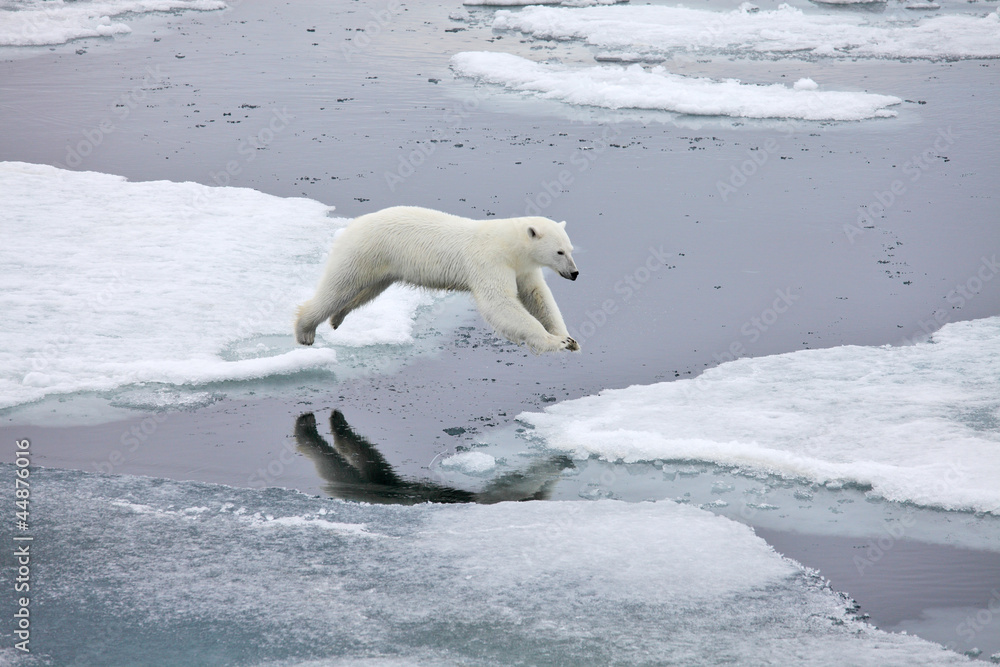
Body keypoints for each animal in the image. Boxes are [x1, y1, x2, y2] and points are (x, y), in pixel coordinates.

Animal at [295, 206, 580, 353]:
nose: (575, 273)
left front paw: (569, 339)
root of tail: (352, 224)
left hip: (382, 266)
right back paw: (305, 330)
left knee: (365, 291)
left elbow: (537, 296)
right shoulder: (490, 261)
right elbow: (499, 303)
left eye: (571, 249)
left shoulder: (522, 268)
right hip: (364, 251)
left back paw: (337, 317)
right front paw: (555, 341)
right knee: (339, 286)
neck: (509, 244)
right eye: (559, 252)